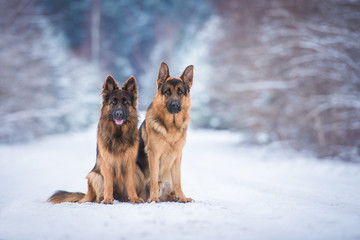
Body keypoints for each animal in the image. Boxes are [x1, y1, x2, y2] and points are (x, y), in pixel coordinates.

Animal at [137, 62, 194, 202]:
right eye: (167, 92)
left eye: (180, 92)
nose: (174, 105)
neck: (171, 128)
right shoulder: (154, 155)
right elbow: (153, 180)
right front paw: (153, 198)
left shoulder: (177, 156)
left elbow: (178, 181)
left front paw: (182, 197)